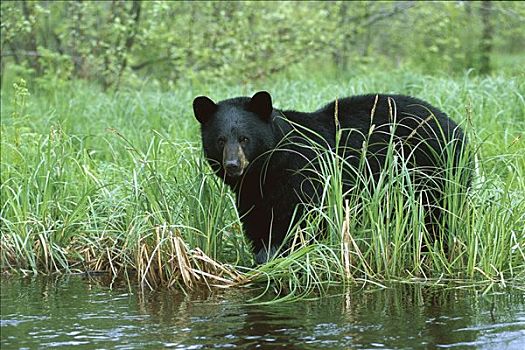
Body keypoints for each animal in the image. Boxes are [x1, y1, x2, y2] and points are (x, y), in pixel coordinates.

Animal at [192, 91, 466, 264]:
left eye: (244, 138)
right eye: (220, 140)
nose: (233, 165)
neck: (266, 171)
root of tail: (455, 126)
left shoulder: (304, 176)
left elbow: (300, 222)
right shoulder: (252, 195)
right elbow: (259, 225)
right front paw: (263, 258)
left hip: (434, 171)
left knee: (436, 217)